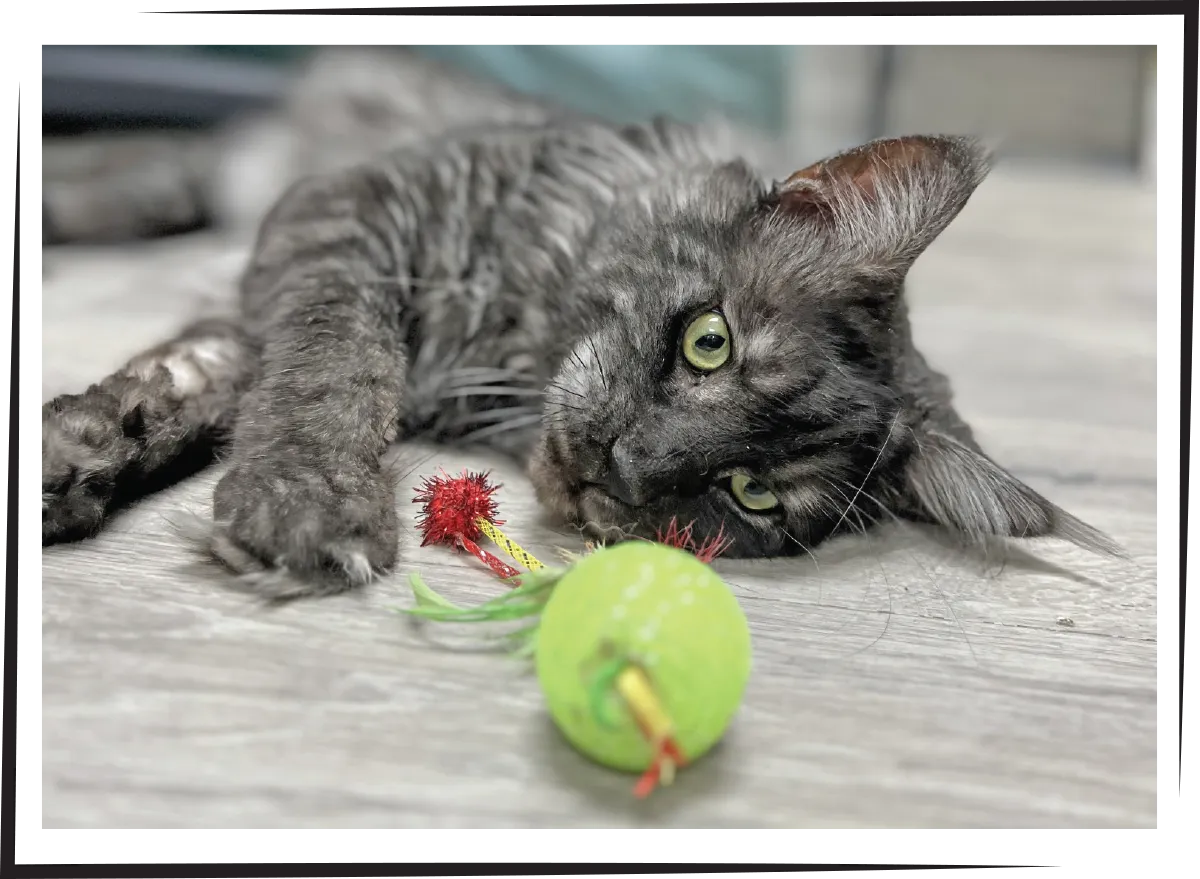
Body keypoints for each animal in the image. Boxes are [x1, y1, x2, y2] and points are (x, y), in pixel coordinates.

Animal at [39, 46, 1123, 598]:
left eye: (753, 494)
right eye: (708, 341)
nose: (625, 466)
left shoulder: (258, 301)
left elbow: (177, 382)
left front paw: (73, 459)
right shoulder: (354, 211)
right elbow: (333, 356)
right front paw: (311, 497)